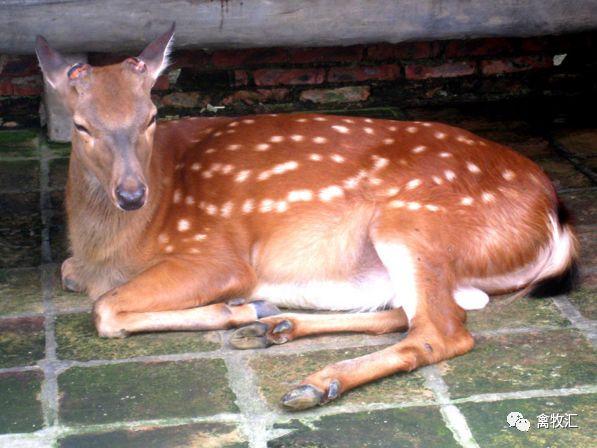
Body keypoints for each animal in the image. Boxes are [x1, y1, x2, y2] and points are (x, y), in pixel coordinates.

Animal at [36, 27, 576, 410]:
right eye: (81, 126)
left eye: (150, 115)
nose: (131, 194)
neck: (113, 245)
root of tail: (553, 211)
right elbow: (71, 276)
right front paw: (247, 312)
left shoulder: (217, 254)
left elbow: (104, 309)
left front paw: (234, 308)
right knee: (408, 313)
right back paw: (271, 327)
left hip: (412, 220)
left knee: (442, 329)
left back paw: (314, 380)